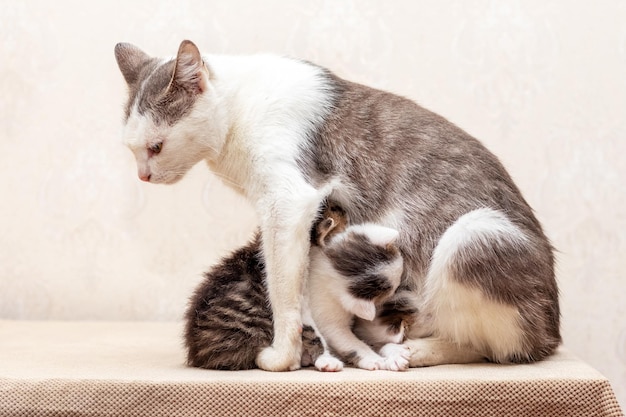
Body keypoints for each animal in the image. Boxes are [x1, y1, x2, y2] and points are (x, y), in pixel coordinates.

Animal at [183, 202, 412, 370]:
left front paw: (393, 352)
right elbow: (341, 340)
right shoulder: (317, 317)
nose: (341, 208)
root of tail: (195, 351)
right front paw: (372, 359)